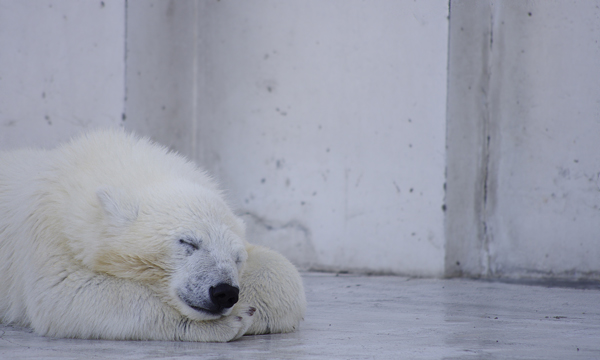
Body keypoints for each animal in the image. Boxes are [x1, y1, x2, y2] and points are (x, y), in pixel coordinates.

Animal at [0, 129, 308, 340]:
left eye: (237, 258)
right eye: (188, 242)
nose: (224, 292)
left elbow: (282, 273)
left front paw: (254, 310)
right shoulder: (49, 231)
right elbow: (64, 292)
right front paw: (232, 321)